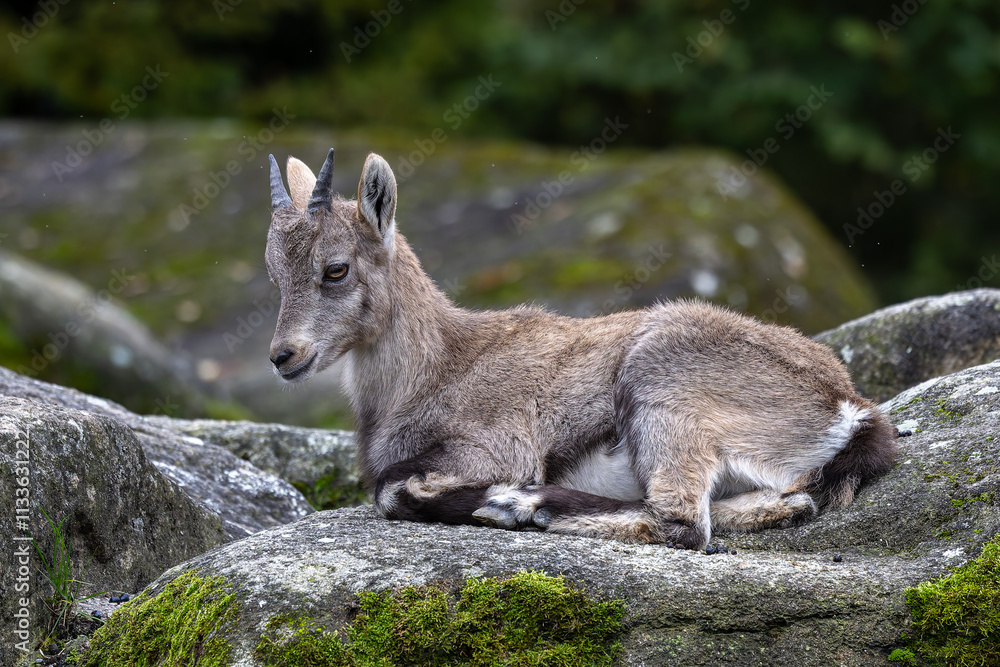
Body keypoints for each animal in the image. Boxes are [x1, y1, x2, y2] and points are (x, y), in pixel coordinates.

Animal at [264, 148, 898, 548]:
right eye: (276, 273)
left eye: (336, 268)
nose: (282, 356)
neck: (434, 370)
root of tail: (848, 407)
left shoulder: (494, 446)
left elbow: (393, 489)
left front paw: (500, 495)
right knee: (782, 503)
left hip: (662, 388)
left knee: (681, 524)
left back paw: (523, 505)